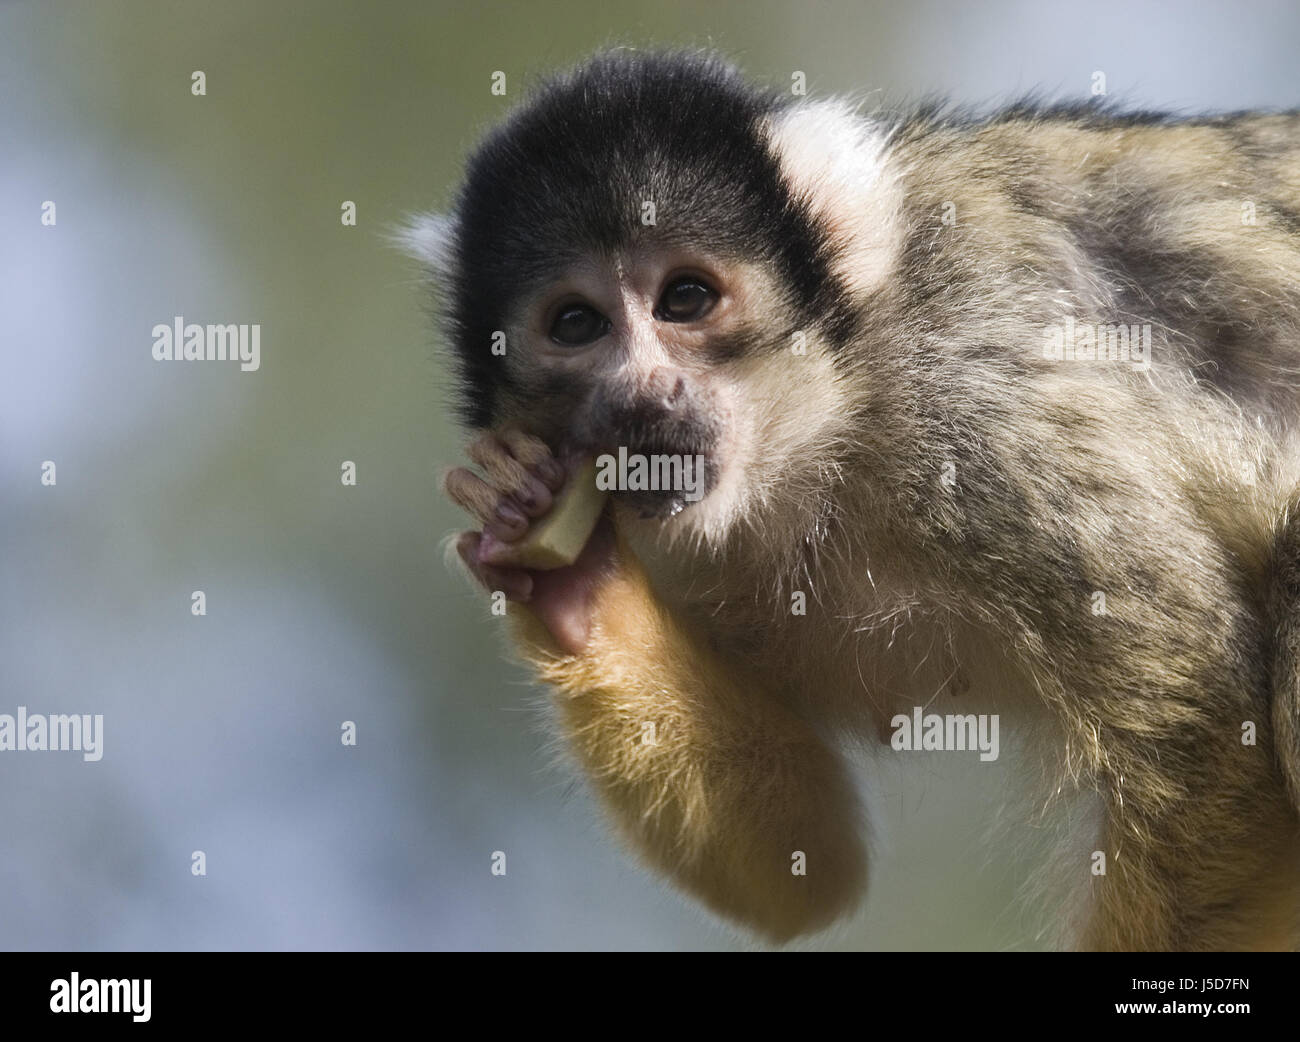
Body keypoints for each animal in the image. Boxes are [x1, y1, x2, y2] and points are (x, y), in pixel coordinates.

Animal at [403, 48, 1300, 945]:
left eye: (686, 298)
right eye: (577, 325)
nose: (640, 396)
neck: (828, 425)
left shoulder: (979, 415)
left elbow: (1198, 706)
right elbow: (805, 875)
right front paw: (558, 563)